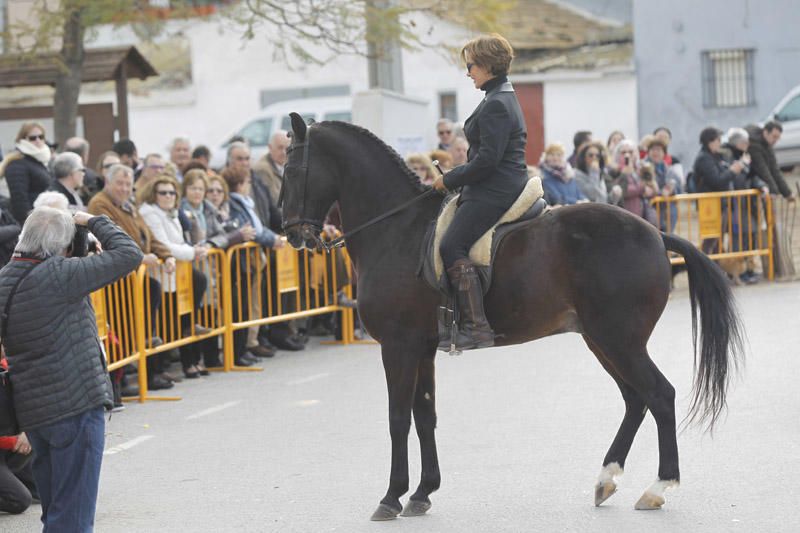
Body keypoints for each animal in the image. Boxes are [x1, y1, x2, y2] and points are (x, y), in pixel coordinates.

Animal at [282, 115, 744, 520]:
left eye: (291, 168)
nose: (290, 232)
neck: (398, 230)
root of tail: (654, 233)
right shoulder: (422, 350)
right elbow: (425, 417)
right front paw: (422, 493)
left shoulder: (399, 347)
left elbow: (398, 419)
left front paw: (392, 497)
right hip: (602, 340)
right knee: (636, 399)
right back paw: (606, 479)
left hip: (620, 341)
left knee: (659, 395)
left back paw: (658, 487)